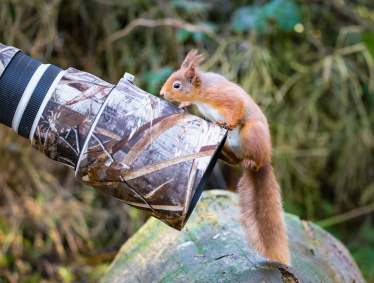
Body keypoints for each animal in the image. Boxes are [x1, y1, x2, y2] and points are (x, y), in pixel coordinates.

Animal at [159, 49, 290, 266]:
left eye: (176, 85)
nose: (162, 93)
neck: (201, 91)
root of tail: (265, 159)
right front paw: (185, 105)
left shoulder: (223, 95)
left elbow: (236, 105)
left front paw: (228, 123)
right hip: (228, 144)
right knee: (235, 161)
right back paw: (221, 155)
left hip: (252, 134)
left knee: (252, 160)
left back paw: (250, 160)